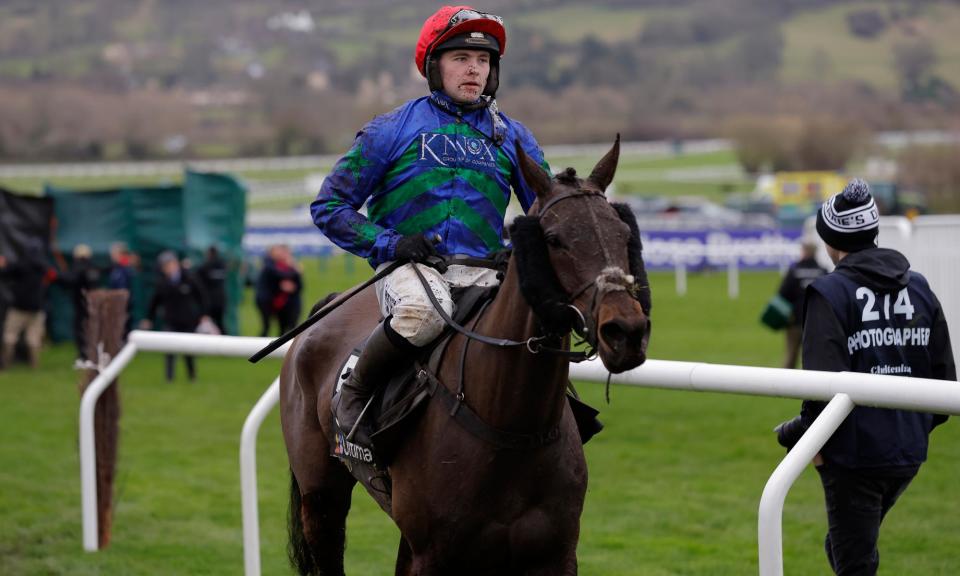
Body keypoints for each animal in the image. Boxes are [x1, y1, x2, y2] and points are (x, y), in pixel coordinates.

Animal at [280, 137, 652, 572]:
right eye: (555, 238)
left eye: (623, 233)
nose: (625, 331)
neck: (512, 427)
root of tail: (328, 306)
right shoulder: (435, 554)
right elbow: (331, 203)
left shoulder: (555, 552)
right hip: (321, 495)